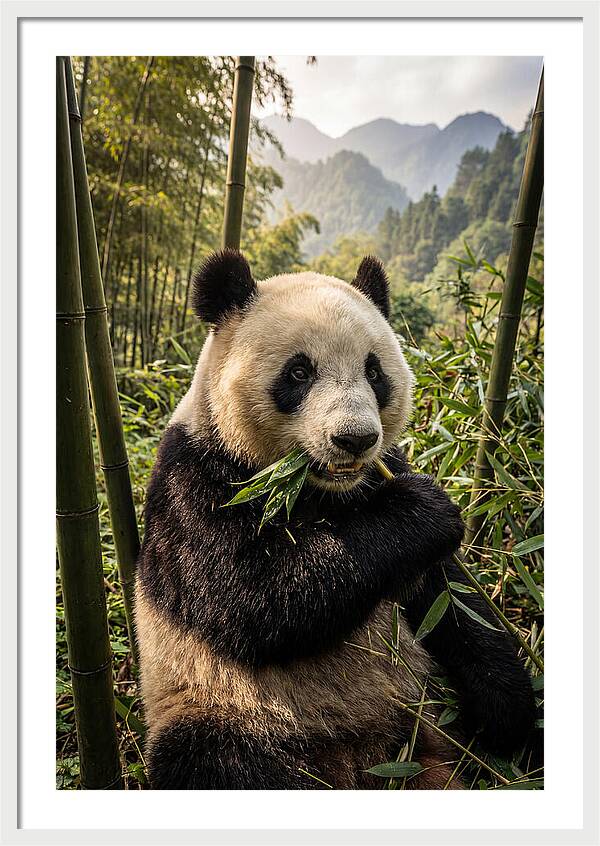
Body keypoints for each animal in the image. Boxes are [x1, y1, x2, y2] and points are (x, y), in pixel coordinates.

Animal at [135, 249, 536, 790]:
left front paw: (508, 711)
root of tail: (364, 760)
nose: (355, 438)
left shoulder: (384, 476)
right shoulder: (196, 477)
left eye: (374, 371)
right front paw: (422, 510)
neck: (319, 489)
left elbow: (453, 603)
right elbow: (252, 597)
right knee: (214, 760)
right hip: (223, 706)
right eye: (299, 372)